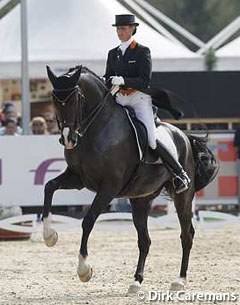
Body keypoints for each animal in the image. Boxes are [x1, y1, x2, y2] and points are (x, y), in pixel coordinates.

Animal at [42, 65, 218, 290]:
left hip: (183, 197)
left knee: (186, 235)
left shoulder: (108, 187)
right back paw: (136, 281)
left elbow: (88, 221)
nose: (68, 139)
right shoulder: (78, 179)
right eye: (55, 100)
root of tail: (184, 136)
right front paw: (49, 236)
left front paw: (84, 270)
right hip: (141, 199)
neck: (97, 129)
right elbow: (49, 186)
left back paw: (179, 280)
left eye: (76, 99)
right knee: (145, 241)